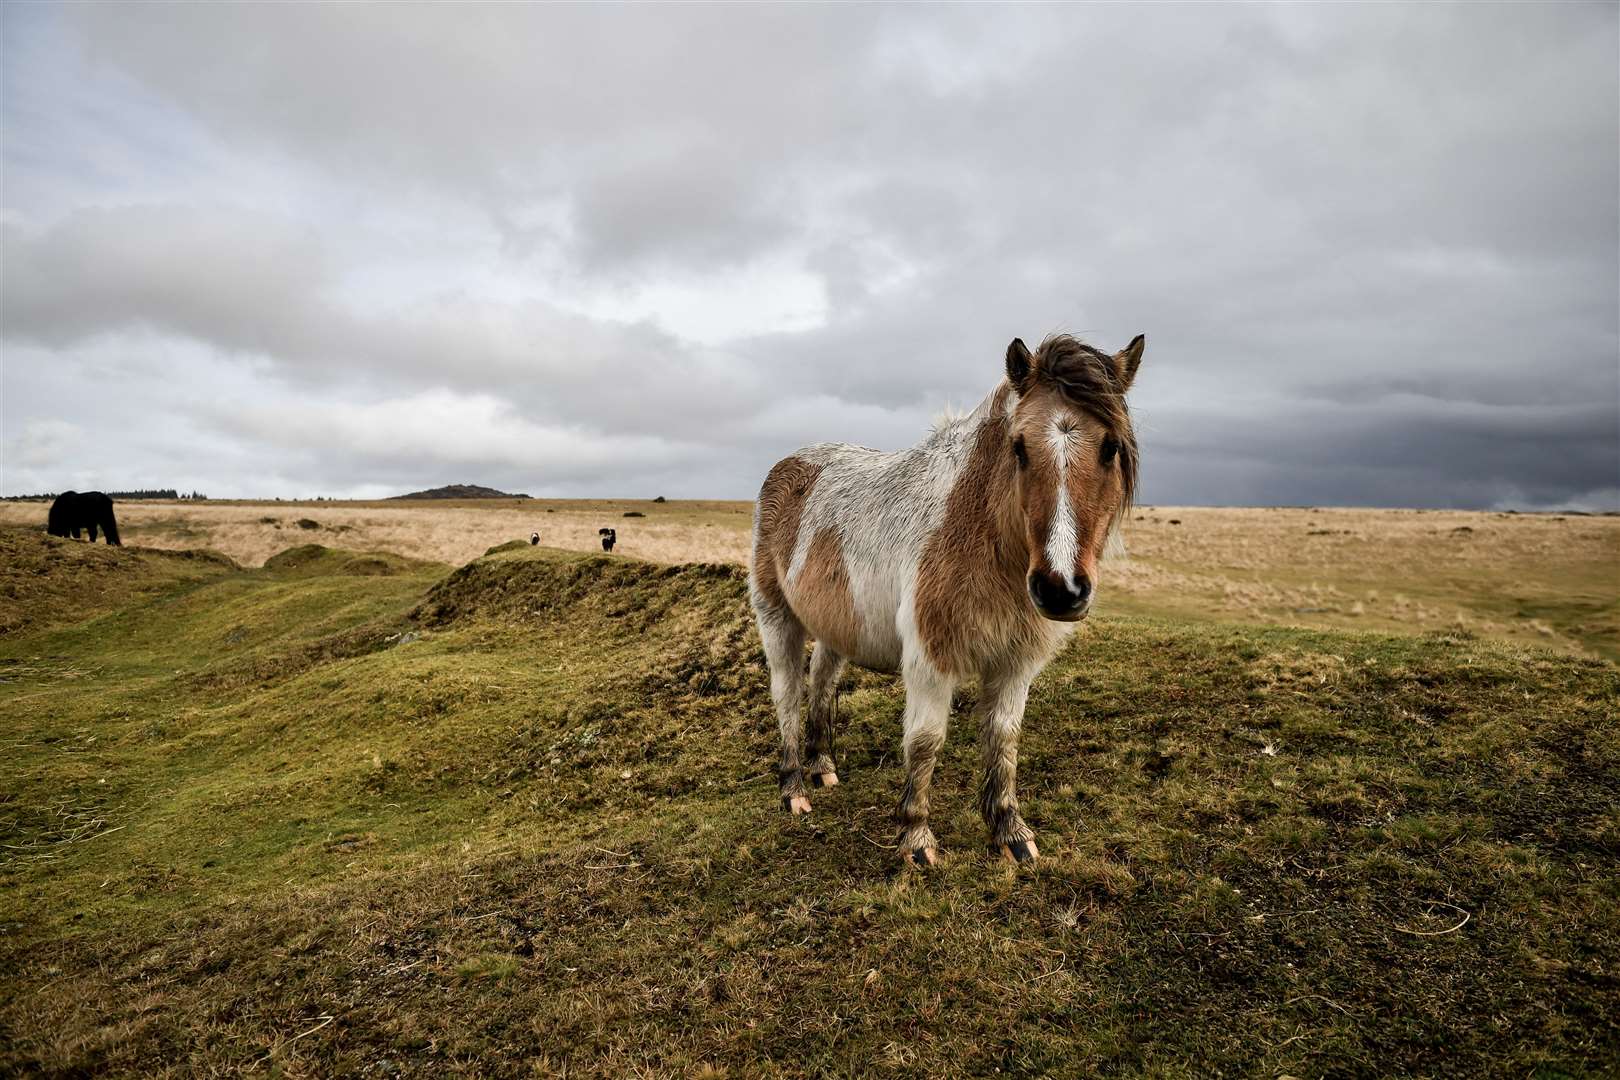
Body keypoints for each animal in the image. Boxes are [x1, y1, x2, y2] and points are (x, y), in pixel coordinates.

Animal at [751, 333, 1146, 867]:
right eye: (1019, 447)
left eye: (1110, 447)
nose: (1060, 588)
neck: (981, 533)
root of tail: (790, 464)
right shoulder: (929, 659)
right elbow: (925, 742)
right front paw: (916, 837)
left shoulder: (1015, 663)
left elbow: (1003, 738)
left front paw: (1009, 831)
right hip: (777, 618)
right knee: (788, 691)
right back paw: (794, 785)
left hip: (837, 627)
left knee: (821, 682)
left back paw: (822, 766)